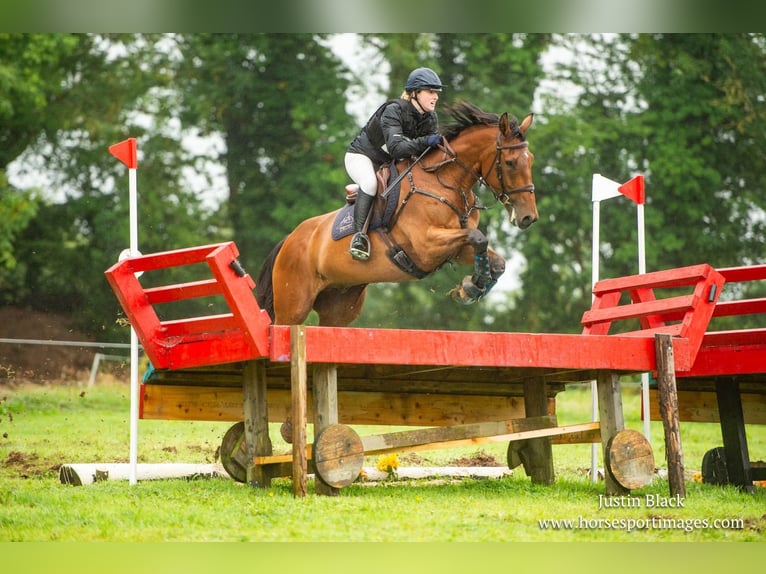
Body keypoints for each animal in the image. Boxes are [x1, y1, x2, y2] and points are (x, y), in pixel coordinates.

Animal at [255, 101, 536, 328]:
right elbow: (478, 237)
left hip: (340, 304)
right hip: (293, 305)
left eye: (530, 159)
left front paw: (472, 287)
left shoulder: (454, 247)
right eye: (510, 162)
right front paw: (472, 285)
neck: (444, 181)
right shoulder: (426, 246)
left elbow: (494, 258)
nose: (528, 218)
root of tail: (289, 240)